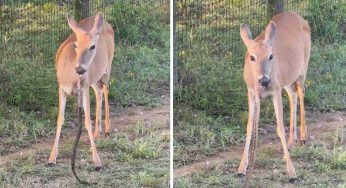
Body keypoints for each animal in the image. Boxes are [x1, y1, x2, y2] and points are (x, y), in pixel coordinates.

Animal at [48, 13, 115, 172]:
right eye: (76, 45)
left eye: (92, 46)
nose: (80, 69)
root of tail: (106, 23)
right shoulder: (61, 88)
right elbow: (60, 118)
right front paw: (52, 158)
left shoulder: (83, 88)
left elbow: (87, 121)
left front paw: (97, 162)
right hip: (93, 78)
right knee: (99, 90)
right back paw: (97, 133)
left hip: (107, 66)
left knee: (106, 88)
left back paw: (107, 129)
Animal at [238, 12, 310, 182]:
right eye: (252, 57)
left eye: (271, 56)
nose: (264, 80)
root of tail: (300, 17)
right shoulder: (251, 92)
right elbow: (249, 126)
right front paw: (242, 168)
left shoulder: (275, 90)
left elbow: (280, 128)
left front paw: (292, 173)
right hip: (287, 78)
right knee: (293, 94)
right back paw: (291, 142)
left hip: (303, 67)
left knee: (301, 92)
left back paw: (303, 137)